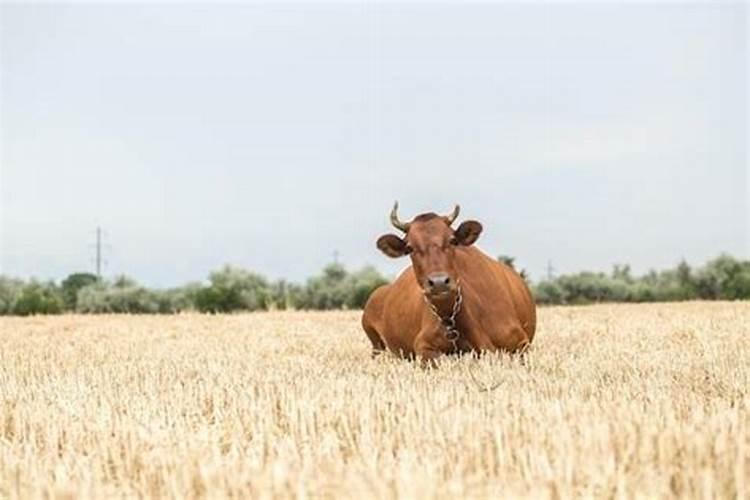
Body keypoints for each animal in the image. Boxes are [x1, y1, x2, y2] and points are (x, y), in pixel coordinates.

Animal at [362, 202, 536, 364]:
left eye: (452, 240)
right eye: (410, 248)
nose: (438, 282)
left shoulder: (521, 343)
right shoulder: (423, 345)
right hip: (375, 343)